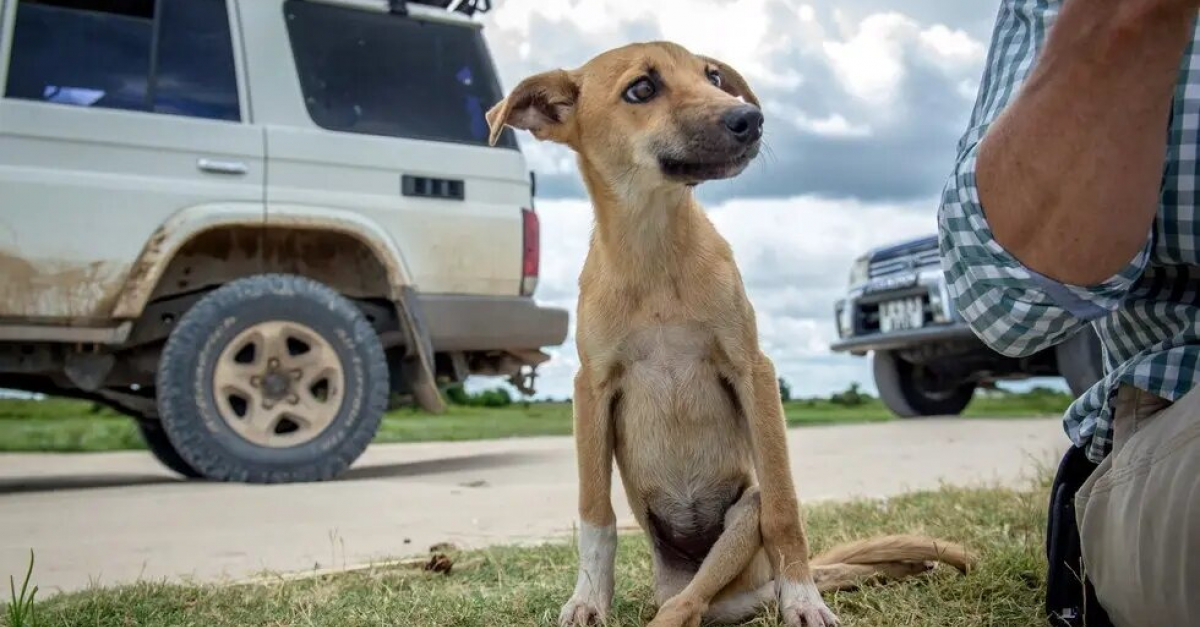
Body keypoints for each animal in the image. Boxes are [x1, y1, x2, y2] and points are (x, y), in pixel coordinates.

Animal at [482, 41, 969, 619]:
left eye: (712, 76)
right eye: (641, 88)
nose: (750, 119)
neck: (655, 252)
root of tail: (748, 589)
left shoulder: (752, 370)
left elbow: (785, 505)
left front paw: (804, 601)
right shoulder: (592, 385)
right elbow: (596, 514)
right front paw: (588, 600)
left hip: (741, 523)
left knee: (701, 595)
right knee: (689, 601)